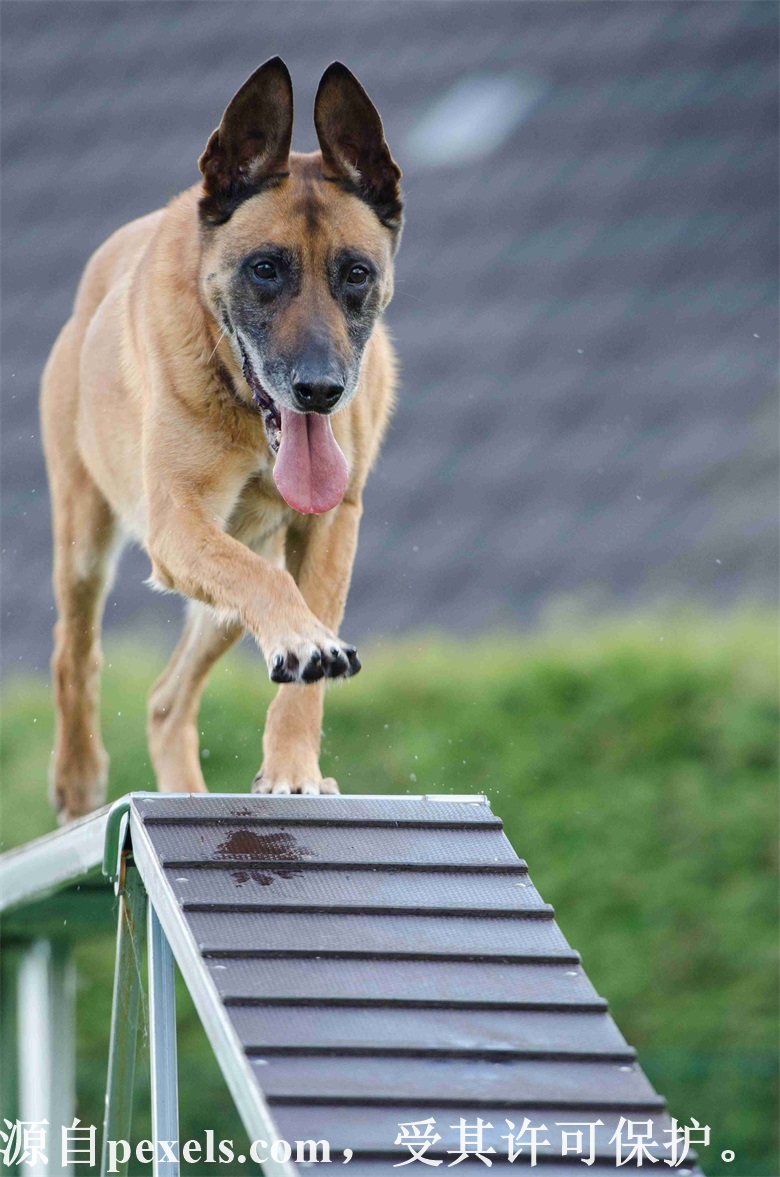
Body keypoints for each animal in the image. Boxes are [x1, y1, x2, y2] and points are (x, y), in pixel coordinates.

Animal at [39, 59, 402, 823]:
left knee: (165, 699)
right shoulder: (177, 520)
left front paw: (293, 770)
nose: (320, 391)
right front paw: (305, 645)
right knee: (73, 652)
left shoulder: (329, 528)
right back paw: (80, 781)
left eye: (355, 273)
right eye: (265, 269)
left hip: (228, 592)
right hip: (86, 542)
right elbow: (275, 596)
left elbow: (303, 666)